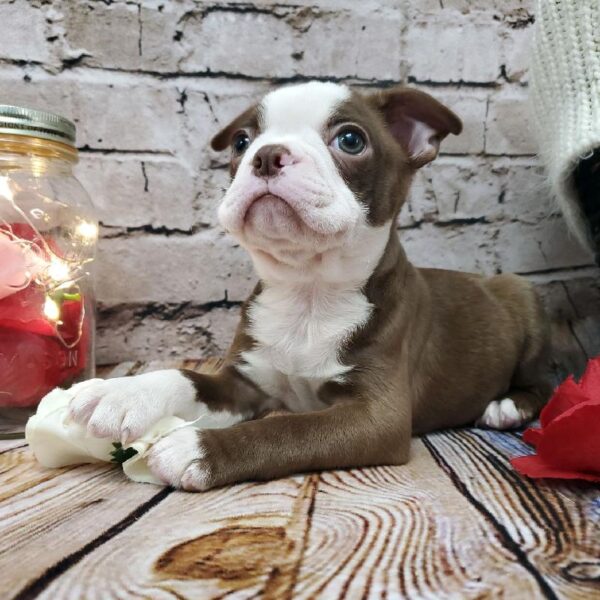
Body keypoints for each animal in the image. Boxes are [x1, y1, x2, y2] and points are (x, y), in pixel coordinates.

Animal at [68, 81, 552, 492]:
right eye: (241, 142)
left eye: (351, 140)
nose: (266, 155)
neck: (309, 292)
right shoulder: (244, 381)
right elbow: (186, 376)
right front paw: (122, 391)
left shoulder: (377, 418)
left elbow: (285, 428)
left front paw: (197, 447)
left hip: (524, 301)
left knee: (547, 382)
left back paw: (508, 406)